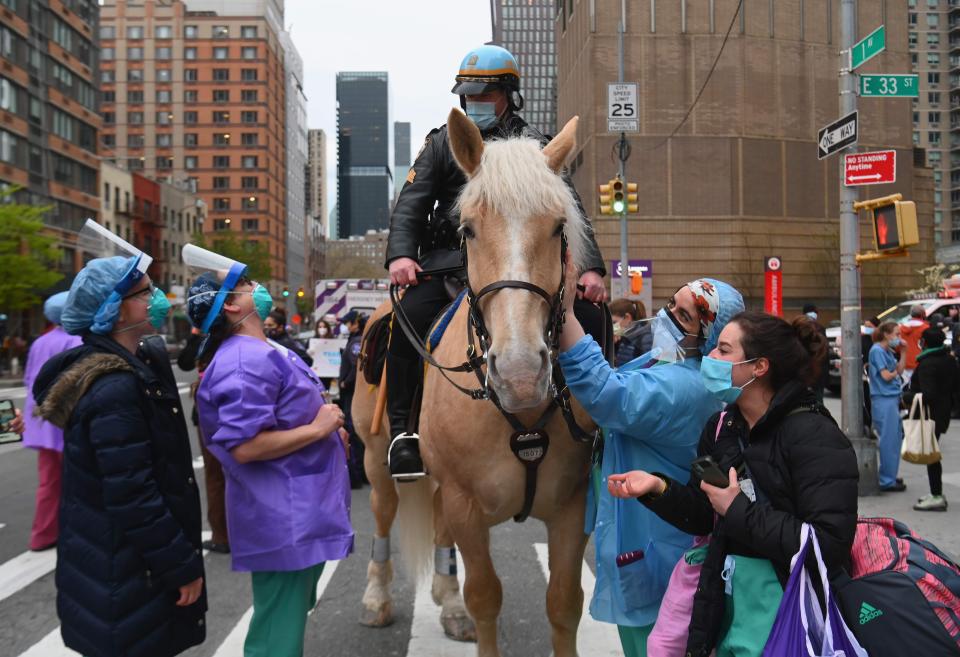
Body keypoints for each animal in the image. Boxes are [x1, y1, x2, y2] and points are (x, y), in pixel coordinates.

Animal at [398, 109, 592, 656]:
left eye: (558, 226)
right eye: (467, 229)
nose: (521, 375)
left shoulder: (573, 506)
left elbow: (564, 603)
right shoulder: (465, 504)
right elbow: (485, 597)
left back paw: (446, 601)